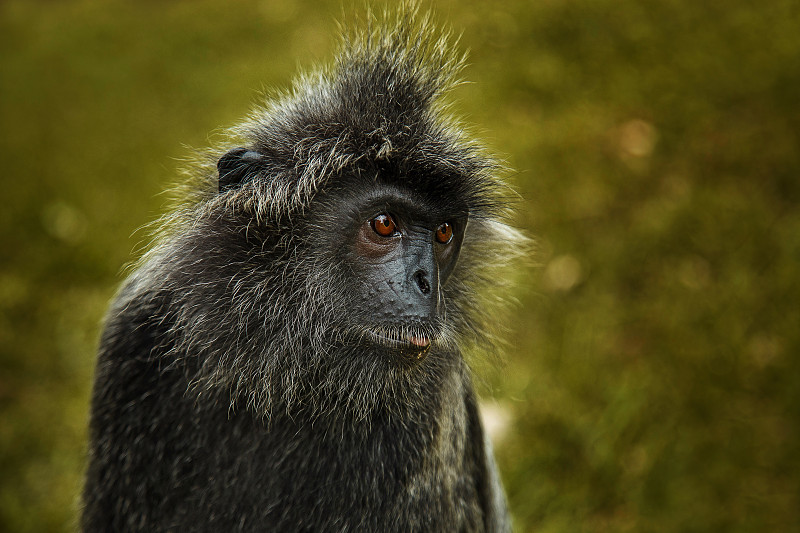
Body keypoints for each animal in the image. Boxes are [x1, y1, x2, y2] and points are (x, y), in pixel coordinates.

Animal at [81, 5, 520, 532]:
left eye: (443, 234)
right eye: (384, 223)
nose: (425, 283)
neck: (277, 375)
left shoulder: (432, 405)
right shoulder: (137, 337)